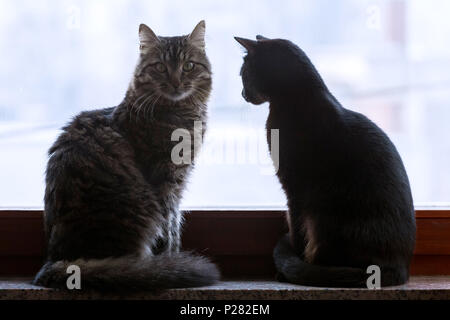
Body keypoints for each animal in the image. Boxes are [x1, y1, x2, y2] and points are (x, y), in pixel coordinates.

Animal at [33, 21, 220, 290]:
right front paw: (170, 260)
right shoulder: (166, 182)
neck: (181, 114)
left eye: (189, 66)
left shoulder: (177, 184)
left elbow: (174, 224)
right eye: (160, 67)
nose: (176, 82)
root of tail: (54, 261)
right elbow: (169, 227)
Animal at [237, 35, 416, 288]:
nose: (243, 93)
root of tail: (398, 268)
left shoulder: (294, 190)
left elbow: (296, 229)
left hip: (322, 222)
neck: (300, 98)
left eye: (243, 74)